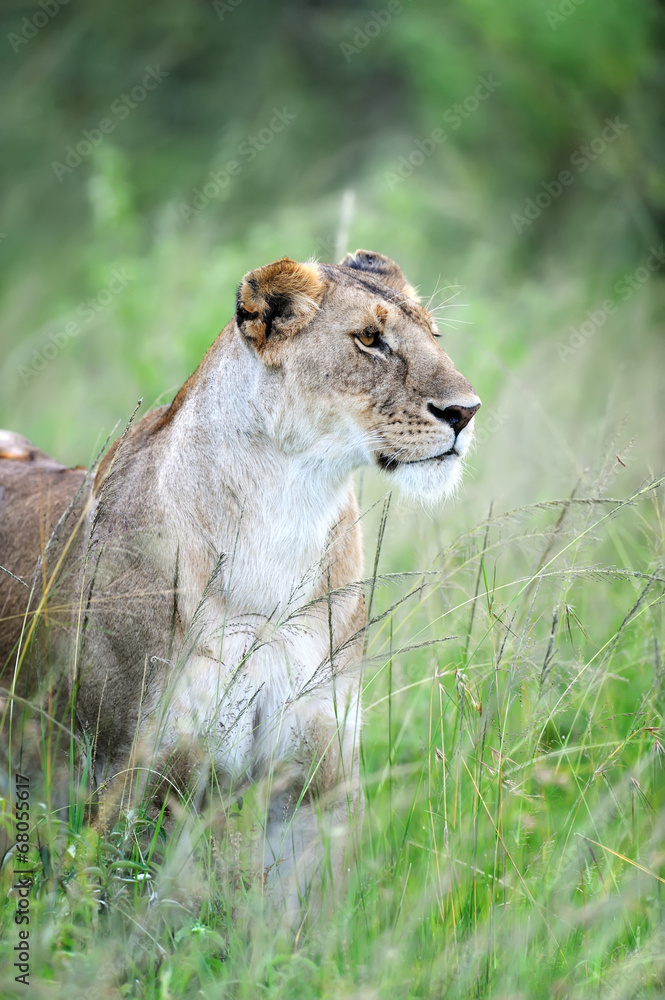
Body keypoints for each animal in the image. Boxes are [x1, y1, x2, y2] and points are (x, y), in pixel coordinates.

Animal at [0, 250, 480, 914]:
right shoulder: (135, 783)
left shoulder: (314, 784)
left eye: (434, 335)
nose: (465, 411)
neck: (283, 520)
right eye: (368, 339)